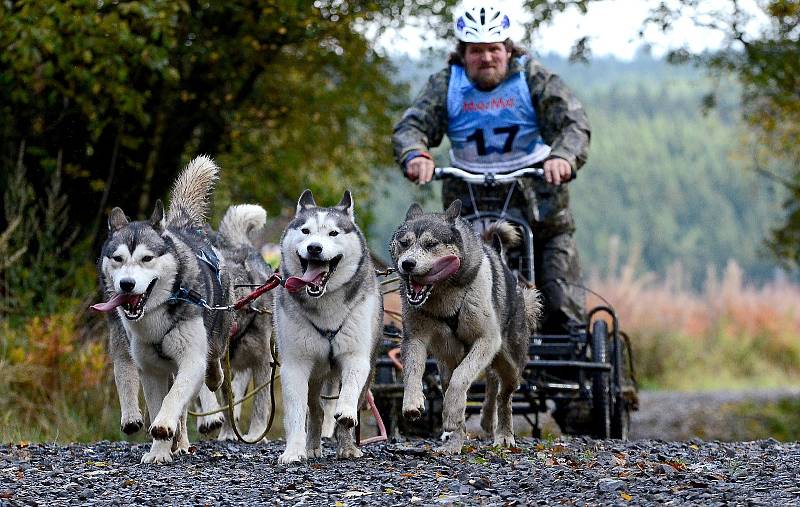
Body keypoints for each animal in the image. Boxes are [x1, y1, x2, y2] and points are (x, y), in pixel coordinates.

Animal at [94, 156, 231, 464]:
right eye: (117, 258)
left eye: (147, 258)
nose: (127, 284)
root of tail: (182, 226)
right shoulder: (149, 369)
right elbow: (154, 400)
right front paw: (159, 450)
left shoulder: (190, 359)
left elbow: (173, 399)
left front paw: (164, 427)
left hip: (216, 333)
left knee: (213, 360)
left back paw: (212, 380)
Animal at [197, 204, 276, 442]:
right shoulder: (223, 365)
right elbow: (227, 399)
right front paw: (228, 433)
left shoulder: (263, 361)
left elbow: (261, 403)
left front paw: (257, 433)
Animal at [276, 190, 384, 464]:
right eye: (305, 231)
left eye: (333, 233)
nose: (314, 247)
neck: (324, 303)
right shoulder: (295, 364)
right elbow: (296, 413)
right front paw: (293, 450)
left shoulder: (356, 356)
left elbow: (349, 393)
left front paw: (345, 412)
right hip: (315, 377)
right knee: (315, 410)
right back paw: (313, 446)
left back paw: (347, 446)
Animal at [390, 199, 540, 456]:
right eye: (404, 243)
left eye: (431, 244)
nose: (407, 264)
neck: (444, 297)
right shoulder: (414, 338)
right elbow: (413, 372)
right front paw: (412, 403)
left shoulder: (487, 340)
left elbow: (462, 379)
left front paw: (452, 412)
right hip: (446, 365)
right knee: (474, 385)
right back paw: (455, 441)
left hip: (511, 363)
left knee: (503, 394)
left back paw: (502, 433)